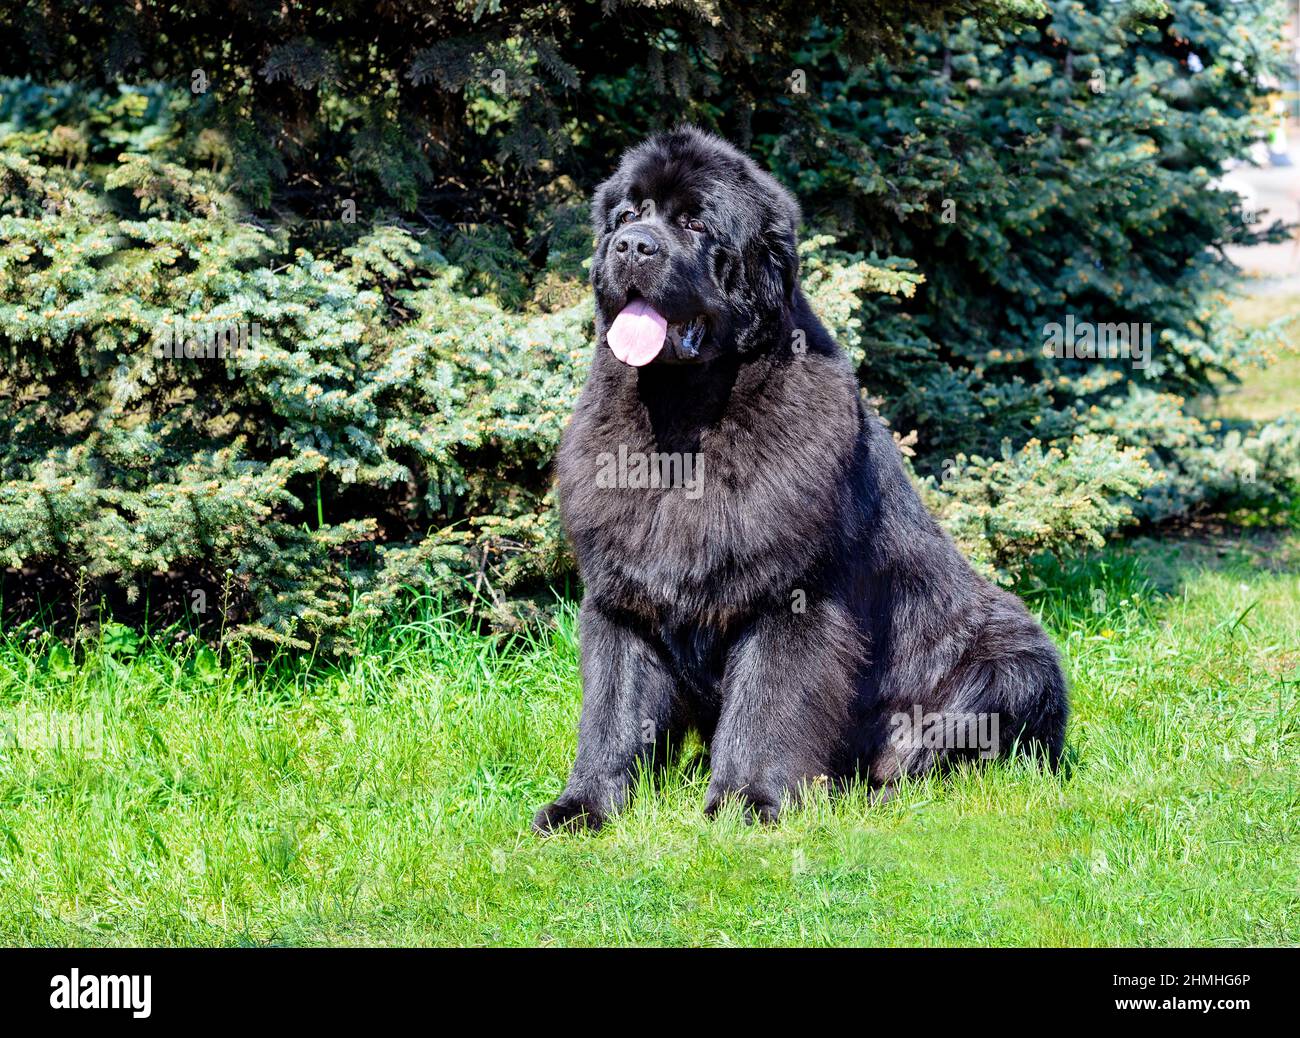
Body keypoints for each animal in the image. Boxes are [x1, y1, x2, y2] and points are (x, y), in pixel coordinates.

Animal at [530, 124, 1066, 837]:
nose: (633, 246)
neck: (683, 422)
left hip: (1014, 661)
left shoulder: (789, 598)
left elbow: (767, 704)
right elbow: (613, 713)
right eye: (627, 215)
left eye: (696, 222)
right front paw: (583, 807)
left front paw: (745, 803)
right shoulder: (623, 597)